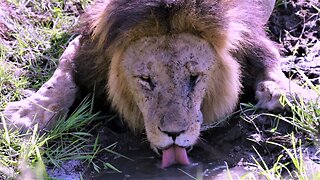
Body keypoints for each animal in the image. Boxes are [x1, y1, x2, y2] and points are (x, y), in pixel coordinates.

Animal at [3, 0, 320, 169]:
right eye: (146, 79)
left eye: (194, 77)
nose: (174, 134)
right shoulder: (90, 46)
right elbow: (63, 75)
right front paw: (28, 113)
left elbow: (272, 73)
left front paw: (296, 94)